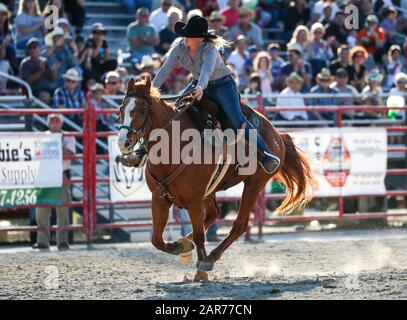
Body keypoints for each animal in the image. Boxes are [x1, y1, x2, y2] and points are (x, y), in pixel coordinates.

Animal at [116, 76, 314, 282]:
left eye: (141, 110)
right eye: (121, 108)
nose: (124, 142)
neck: (174, 146)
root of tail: (277, 135)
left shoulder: (194, 201)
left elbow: (199, 235)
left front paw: (201, 271)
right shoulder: (159, 198)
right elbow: (156, 239)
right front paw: (179, 247)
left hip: (254, 184)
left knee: (239, 225)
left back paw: (209, 259)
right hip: (210, 191)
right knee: (215, 214)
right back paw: (186, 244)